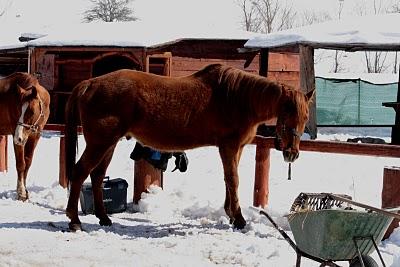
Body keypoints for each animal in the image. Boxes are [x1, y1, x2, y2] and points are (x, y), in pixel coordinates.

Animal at [0, 73, 51, 201]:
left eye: (31, 111)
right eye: (18, 109)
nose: (18, 138)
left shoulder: (34, 136)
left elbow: (27, 163)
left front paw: (25, 191)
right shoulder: (17, 137)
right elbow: (21, 164)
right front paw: (21, 193)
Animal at [65, 63, 314, 231]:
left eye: (305, 117)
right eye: (288, 116)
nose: (292, 154)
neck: (236, 98)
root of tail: (89, 84)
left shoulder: (237, 148)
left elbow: (228, 180)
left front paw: (231, 215)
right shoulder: (229, 146)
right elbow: (233, 180)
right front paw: (239, 219)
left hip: (108, 144)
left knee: (97, 176)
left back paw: (103, 218)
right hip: (100, 143)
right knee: (79, 173)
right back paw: (75, 221)